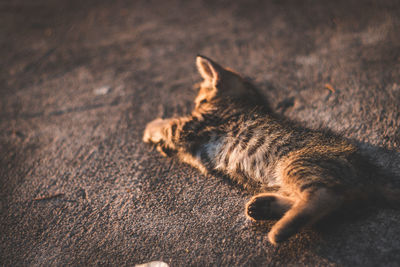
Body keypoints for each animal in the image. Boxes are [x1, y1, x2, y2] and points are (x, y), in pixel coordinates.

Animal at [142, 55, 398, 246]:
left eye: (200, 101)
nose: (197, 105)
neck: (246, 100)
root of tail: (368, 172)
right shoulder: (196, 150)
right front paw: (161, 144)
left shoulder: (192, 126)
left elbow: (168, 124)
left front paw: (149, 127)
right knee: (330, 202)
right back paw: (263, 207)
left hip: (296, 164)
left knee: (326, 195)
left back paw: (278, 230)